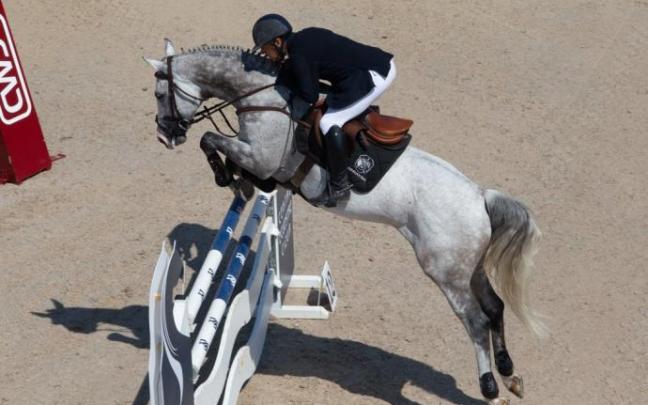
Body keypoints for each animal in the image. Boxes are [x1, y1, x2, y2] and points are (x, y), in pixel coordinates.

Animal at [144, 39, 544, 405]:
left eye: (160, 93)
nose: (165, 135)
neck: (264, 99)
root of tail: (480, 197)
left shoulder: (261, 157)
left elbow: (210, 139)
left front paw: (227, 177)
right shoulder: (262, 163)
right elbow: (233, 158)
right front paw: (239, 181)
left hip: (445, 272)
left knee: (475, 321)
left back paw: (490, 387)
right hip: (467, 267)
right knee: (495, 307)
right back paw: (510, 375)